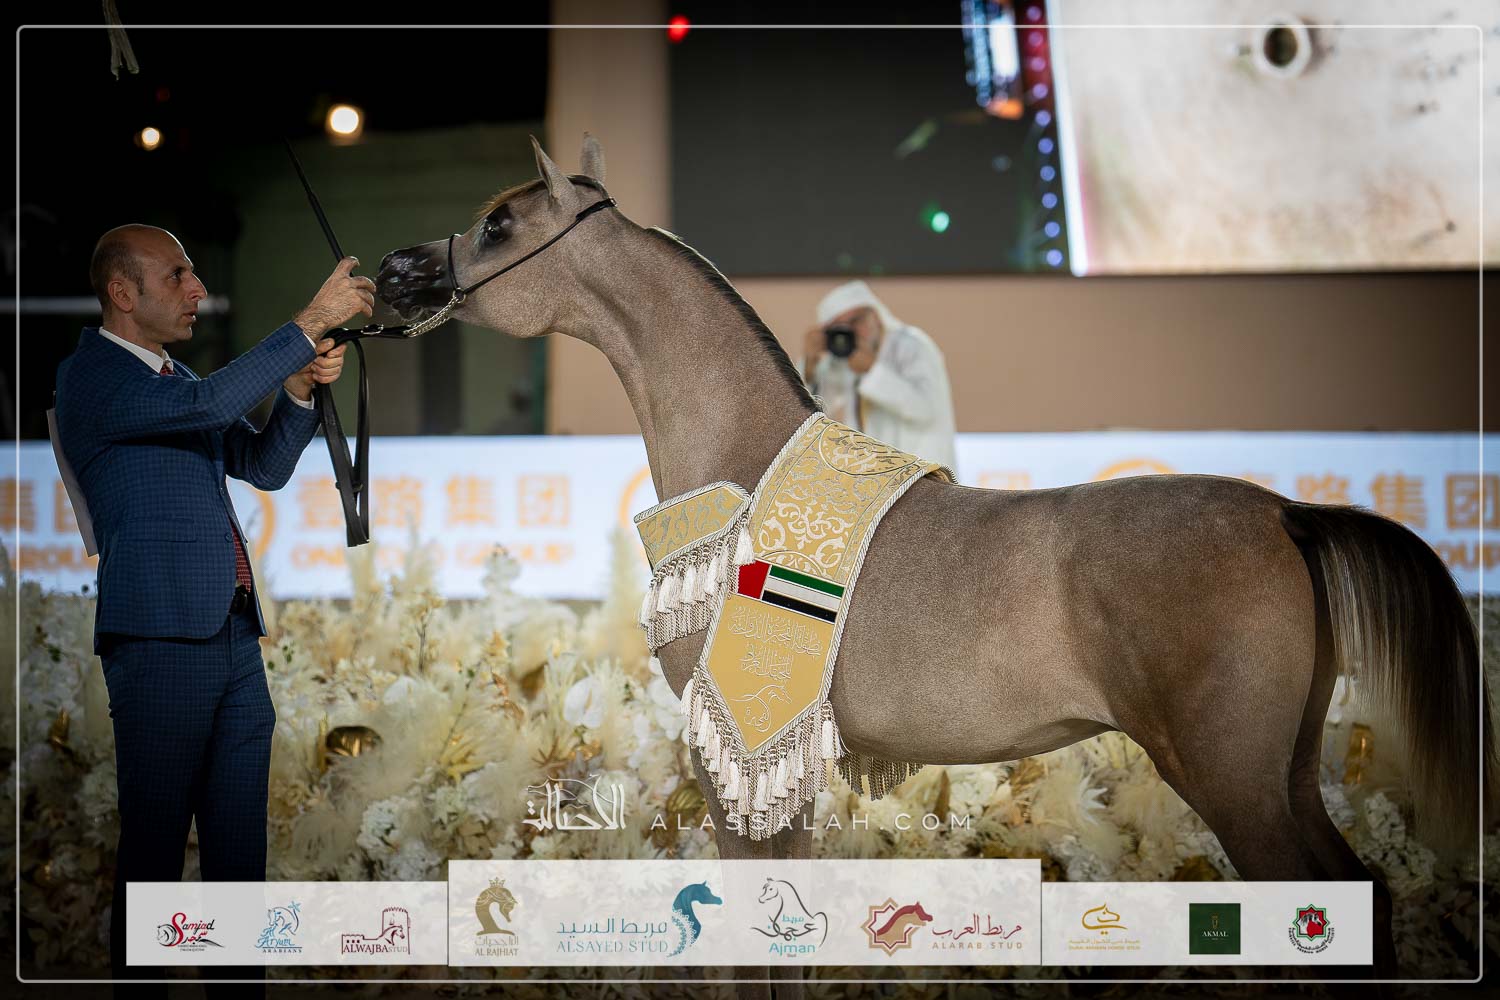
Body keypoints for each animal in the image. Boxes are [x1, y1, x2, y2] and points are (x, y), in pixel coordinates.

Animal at [376, 135, 1495, 987]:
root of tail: (1285, 513)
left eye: (499, 225)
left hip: (1236, 779)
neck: (748, 480)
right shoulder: (782, 770)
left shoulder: (734, 760)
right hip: (1289, 767)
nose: (395, 273)